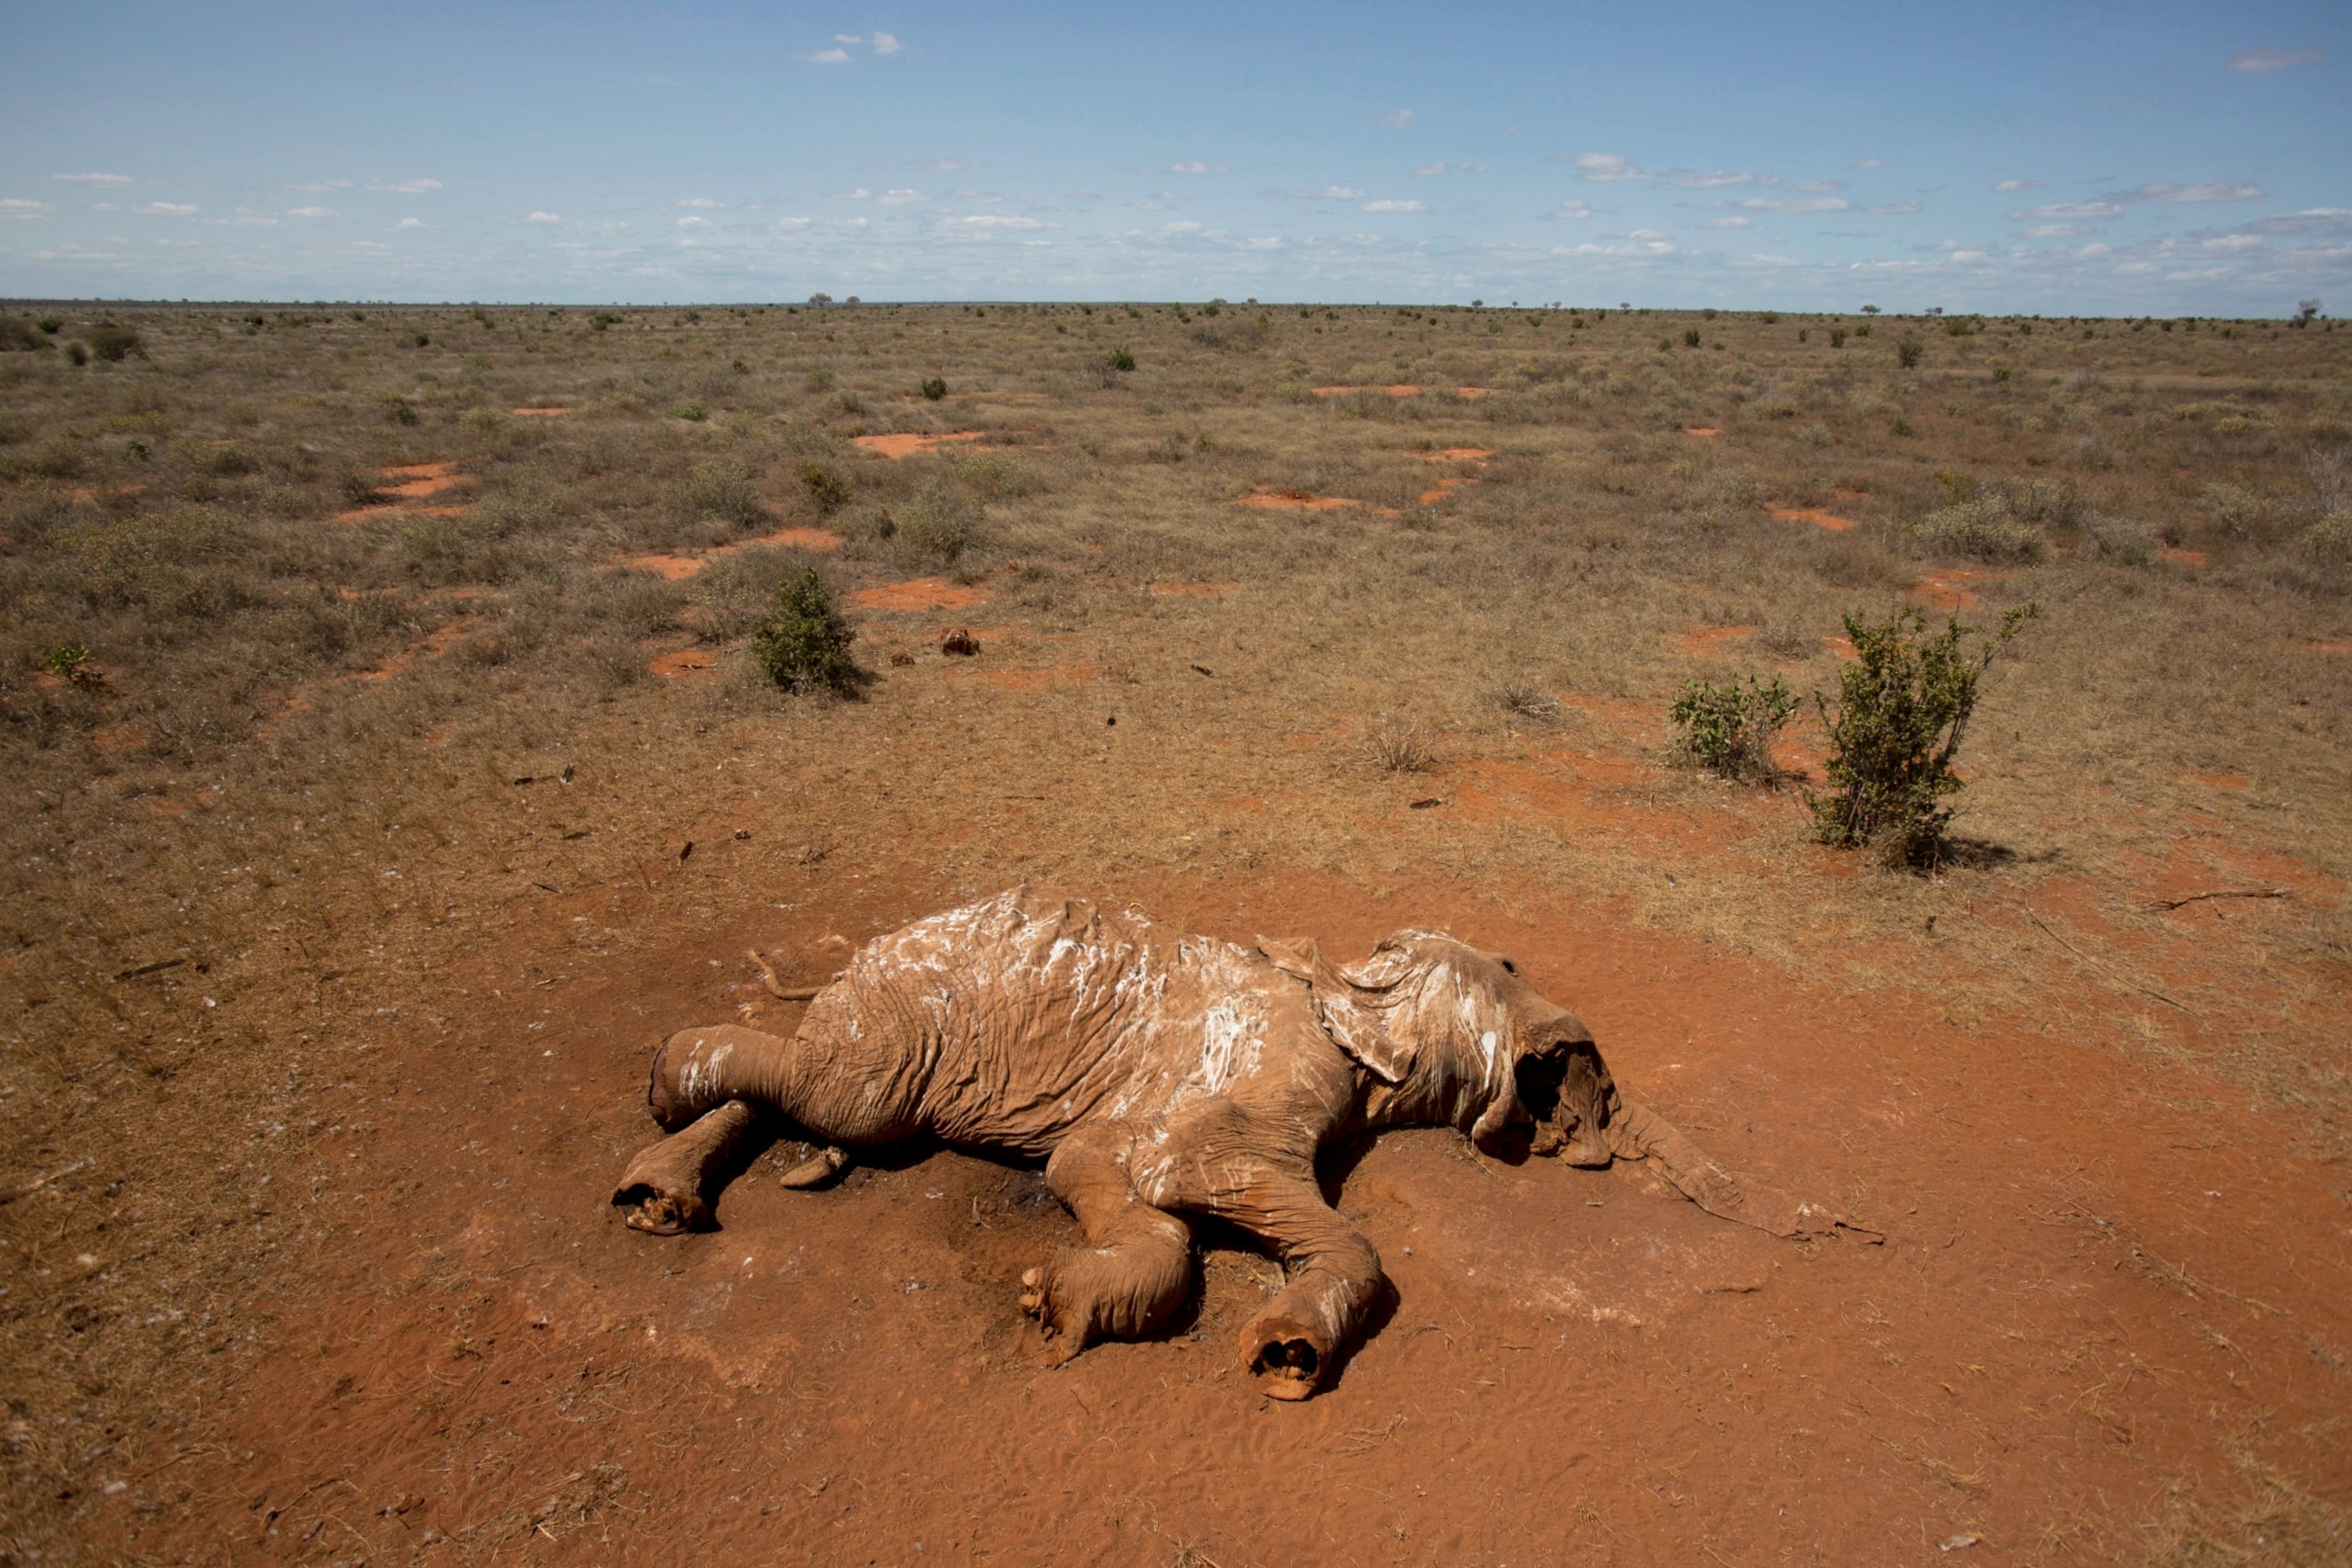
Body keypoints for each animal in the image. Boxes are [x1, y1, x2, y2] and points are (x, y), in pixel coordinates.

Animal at [613, 887, 1868, 1399]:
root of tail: (864, 949)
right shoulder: (1270, 1068)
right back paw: (667, 1081)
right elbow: (1198, 1188)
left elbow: (1104, 1176)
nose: (1853, 1233)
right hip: (920, 1014)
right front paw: (1281, 1354)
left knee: (818, 1098)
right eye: (1510, 963)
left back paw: (665, 1193)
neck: (1350, 996)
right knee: (838, 1088)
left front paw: (1076, 1303)